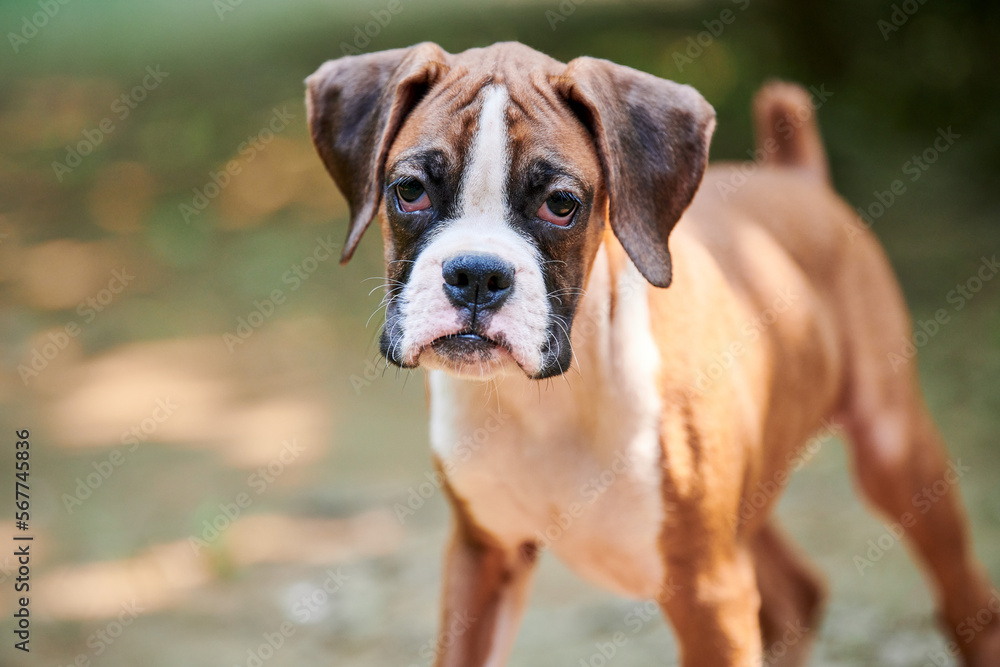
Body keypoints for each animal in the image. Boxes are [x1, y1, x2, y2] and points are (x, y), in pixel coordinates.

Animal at [304, 41, 1000, 667]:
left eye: (561, 204)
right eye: (409, 191)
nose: (477, 274)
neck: (546, 402)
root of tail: (796, 176)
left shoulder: (708, 595)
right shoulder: (481, 565)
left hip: (893, 451)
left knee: (965, 604)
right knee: (796, 597)